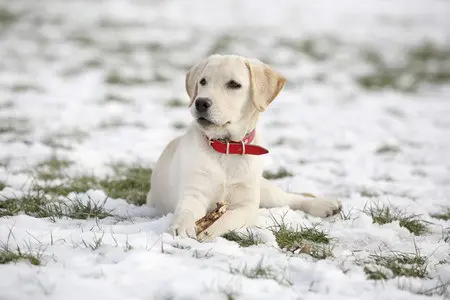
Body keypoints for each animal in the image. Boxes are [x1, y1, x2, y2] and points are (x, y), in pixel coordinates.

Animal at [147, 54, 342, 241]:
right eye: (203, 81)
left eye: (234, 84)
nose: (201, 102)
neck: (226, 147)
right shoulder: (193, 193)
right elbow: (185, 210)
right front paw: (181, 227)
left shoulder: (247, 206)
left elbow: (228, 217)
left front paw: (209, 232)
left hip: (264, 190)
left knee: (291, 199)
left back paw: (324, 204)